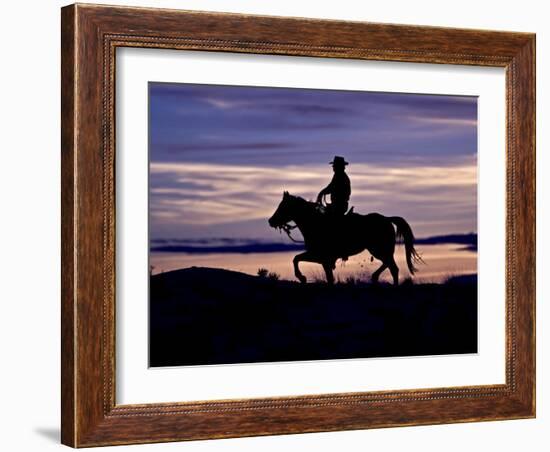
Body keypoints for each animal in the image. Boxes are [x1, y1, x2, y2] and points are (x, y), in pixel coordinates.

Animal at [270, 192, 424, 286]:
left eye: (283, 206)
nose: (271, 221)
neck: (315, 223)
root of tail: (386, 219)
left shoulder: (320, 256)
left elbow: (296, 259)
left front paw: (301, 277)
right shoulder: (322, 259)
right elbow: (326, 276)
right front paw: (302, 277)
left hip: (379, 250)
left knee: (393, 268)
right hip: (380, 251)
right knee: (390, 266)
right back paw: (374, 277)